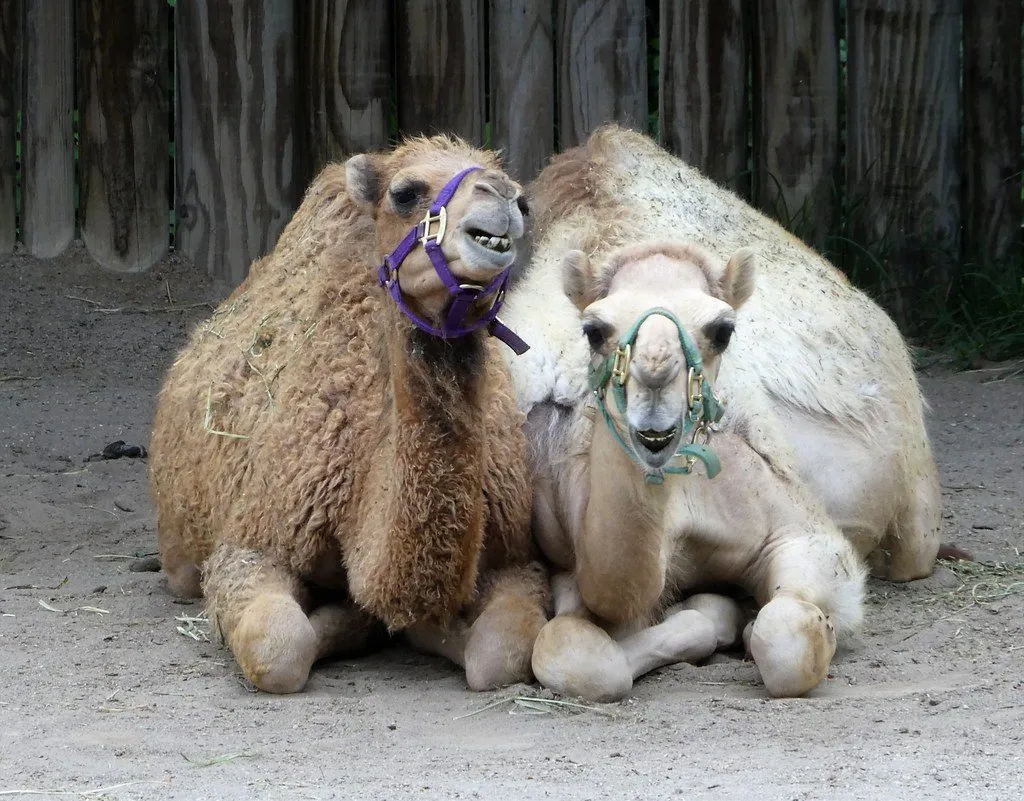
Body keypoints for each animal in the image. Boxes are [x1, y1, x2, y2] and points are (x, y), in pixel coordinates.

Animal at [149, 135, 548, 694]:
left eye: (525, 202)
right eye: (405, 193)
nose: (505, 197)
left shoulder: (514, 555)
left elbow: (498, 655)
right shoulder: (253, 541)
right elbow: (279, 645)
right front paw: (353, 617)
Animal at [499, 126, 942, 698]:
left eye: (723, 329)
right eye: (594, 329)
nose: (656, 386)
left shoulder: (800, 529)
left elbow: (790, 635)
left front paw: (752, 623)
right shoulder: (562, 544)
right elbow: (569, 649)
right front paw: (713, 616)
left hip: (916, 520)